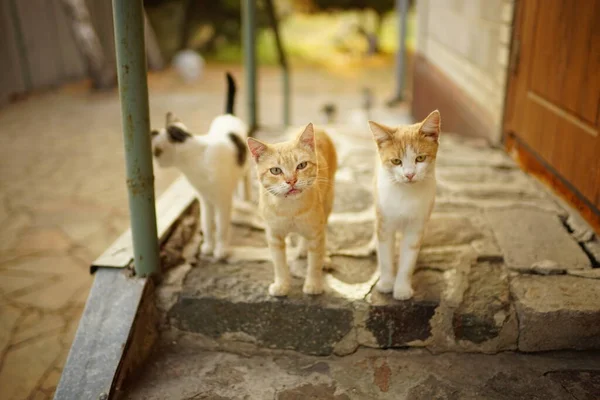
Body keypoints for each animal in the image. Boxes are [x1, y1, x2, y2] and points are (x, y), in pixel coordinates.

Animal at [154, 72, 252, 260]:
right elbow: (206, 225)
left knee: (245, 178)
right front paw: (208, 246)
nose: (156, 163)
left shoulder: (221, 200)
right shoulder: (205, 200)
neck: (194, 160)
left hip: (245, 163)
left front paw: (221, 250)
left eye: (156, 151)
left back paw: (245, 197)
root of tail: (227, 115)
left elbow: (221, 227)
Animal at [245, 125, 338, 296]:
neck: (290, 210)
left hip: (327, 203)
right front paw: (282, 285)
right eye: (275, 170)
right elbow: (279, 264)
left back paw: (323, 257)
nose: (291, 181)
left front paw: (313, 284)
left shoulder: (315, 233)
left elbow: (314, 263)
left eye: (301, 165)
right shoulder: (274, 237)